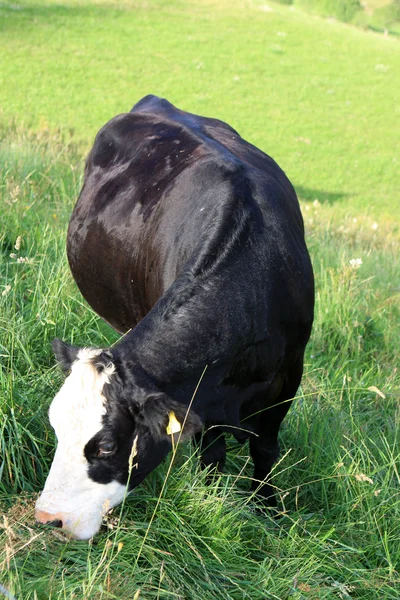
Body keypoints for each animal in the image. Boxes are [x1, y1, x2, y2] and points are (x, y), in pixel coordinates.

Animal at [34, 95, 314, 540]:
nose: (49, 518)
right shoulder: (201, 401)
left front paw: (267, 508)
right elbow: (213, 454)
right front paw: (219, 498)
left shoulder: (288, 377)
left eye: (107, 446)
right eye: (56, 427)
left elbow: (266, 449)